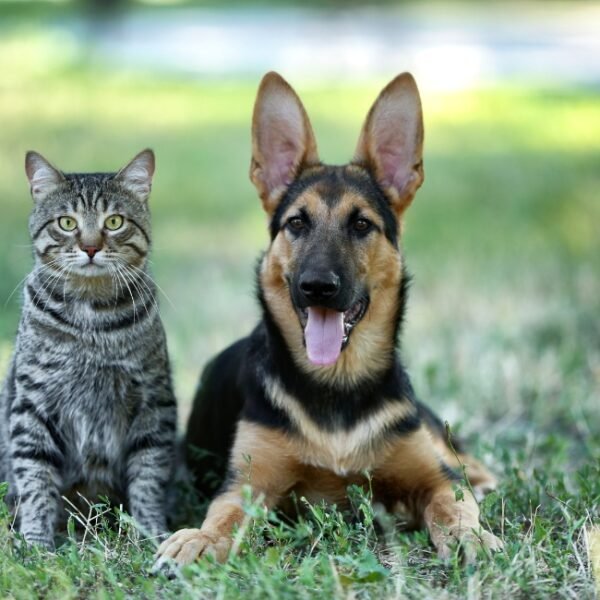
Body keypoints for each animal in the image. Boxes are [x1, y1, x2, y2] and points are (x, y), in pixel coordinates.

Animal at [0, 150, 178, 548]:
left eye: (114, 222)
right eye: (67, 223)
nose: (91, 247)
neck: (91, 320)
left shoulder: (153, 400)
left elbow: (148, 475)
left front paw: (152, 533)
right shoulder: (33, 403)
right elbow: (36, 478)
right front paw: (37, 543)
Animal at [155, 71, 502, 568]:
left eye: (361, 224)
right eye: (297, 223)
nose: (317, 287)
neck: (337, 384)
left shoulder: (432, 478)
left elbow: (452, 505)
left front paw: (470, 537)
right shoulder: (246, 485)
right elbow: (222, 516)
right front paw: (199, 538)